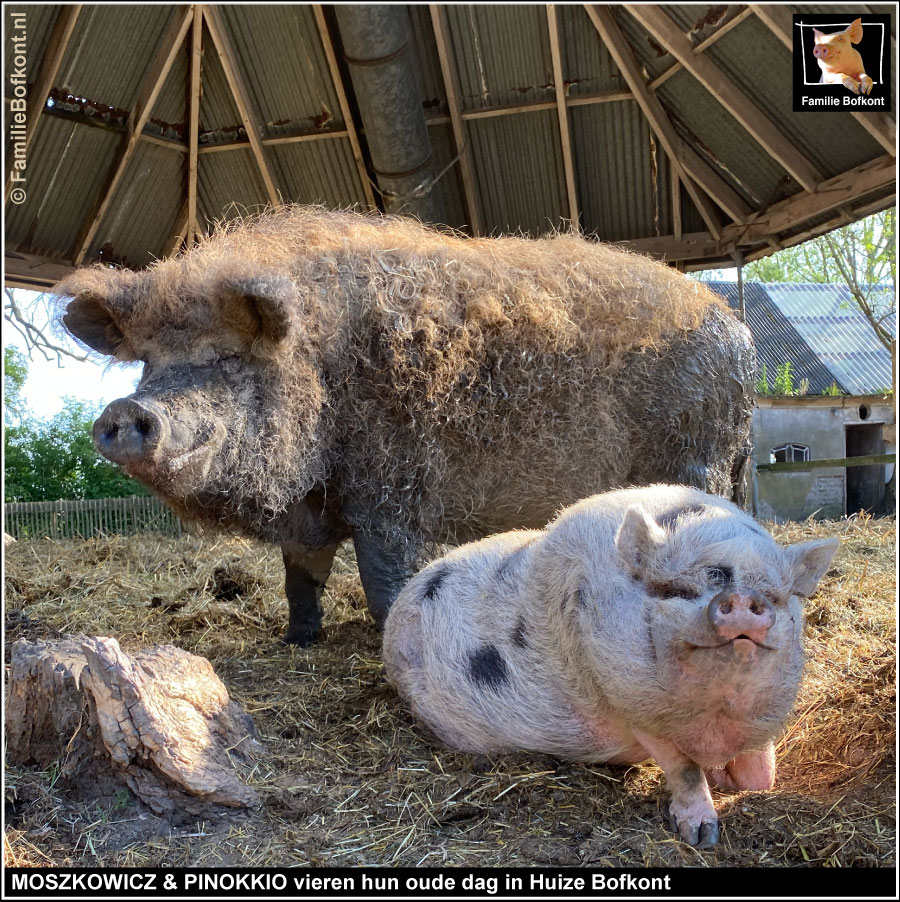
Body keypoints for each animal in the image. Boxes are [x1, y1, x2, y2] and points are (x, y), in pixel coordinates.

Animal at [56, 208, 756, 648]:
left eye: (227, 357)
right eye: (148, 362)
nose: (125, 411)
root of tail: (740, 335)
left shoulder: (393, 491)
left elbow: (386, 581)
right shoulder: (310, 514)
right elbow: (299, 578)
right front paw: (296, 641)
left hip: (696, 452)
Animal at [384, 488, 840, 848]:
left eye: (775, 596)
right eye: (678, 591)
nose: (743, 599)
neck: (717, 716)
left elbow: (760, 776)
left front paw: (730, 781)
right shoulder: (628, 701)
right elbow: (684, 770)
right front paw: (701, 836)